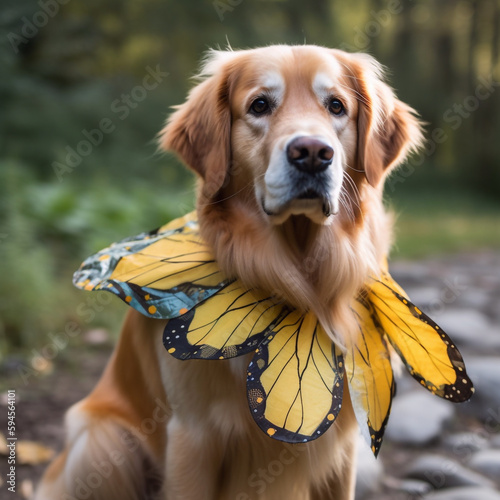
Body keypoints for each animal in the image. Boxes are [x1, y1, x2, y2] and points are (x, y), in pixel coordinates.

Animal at [37, 45, 424, 498]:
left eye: (336, 106)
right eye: (259, 105)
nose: (313, 153)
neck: (302, 281)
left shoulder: (341, 445)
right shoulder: (192, 437)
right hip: (103, 439)